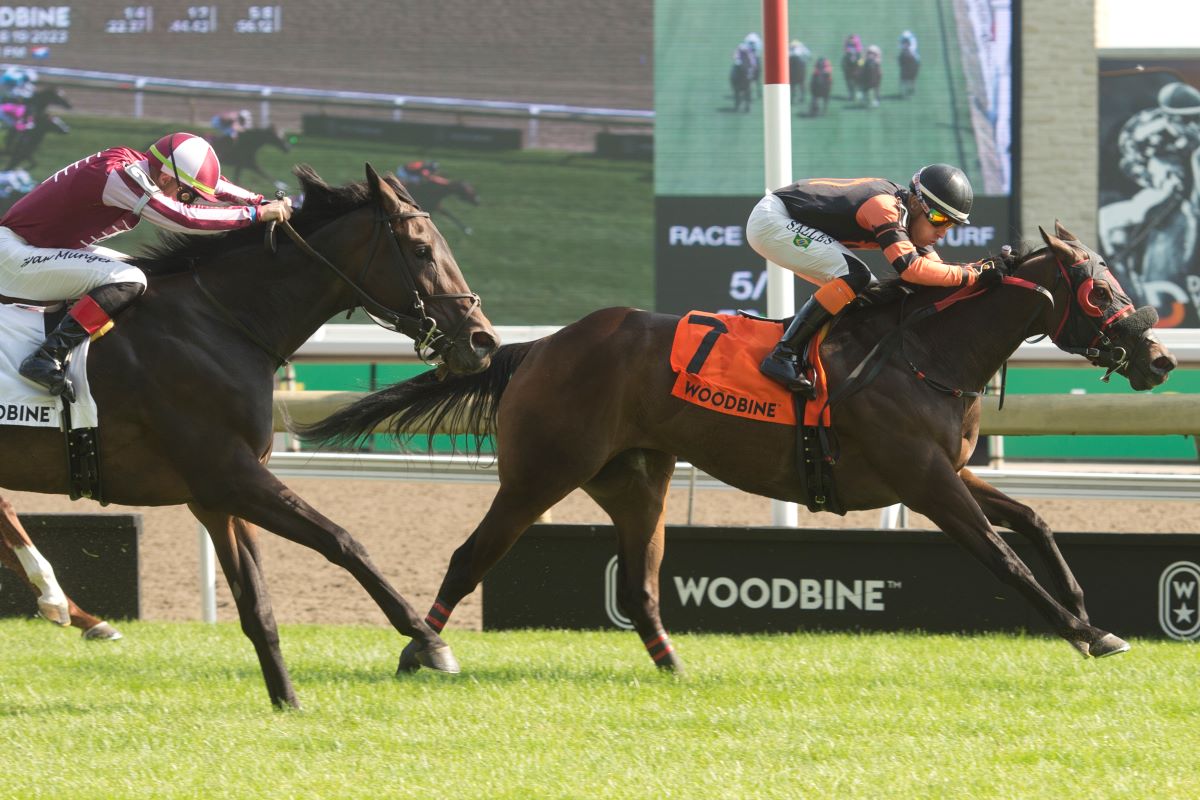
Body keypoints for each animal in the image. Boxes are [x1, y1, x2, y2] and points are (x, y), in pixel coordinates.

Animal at [0, 163, 496, 705]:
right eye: (422, 249)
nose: (483, 340)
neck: (219, 322)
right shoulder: (230, 477)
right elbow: (343, 542)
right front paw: (429, 642)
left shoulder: (217, 498)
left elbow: (257, 606)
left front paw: (286, 699)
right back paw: (60, 602)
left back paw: (69, 609)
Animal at [302, 221, 1180, 671]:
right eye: (1098, 288)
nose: (1160, 358)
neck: (928, 352)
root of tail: (539, 344)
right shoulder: (926, 481)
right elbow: (1002, 556)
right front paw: (1084, 633)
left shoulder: (948, 470)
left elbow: (1034, 522)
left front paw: (1090, 614)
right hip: (538, 475)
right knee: (469, 555)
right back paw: (421, 650)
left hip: (636, 479)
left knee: (642, 580)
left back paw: (671, 663)